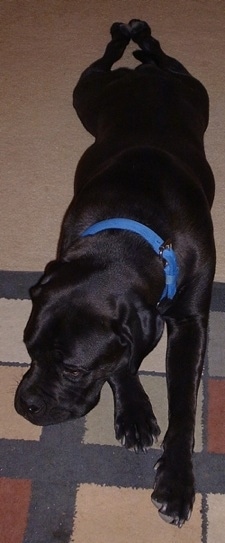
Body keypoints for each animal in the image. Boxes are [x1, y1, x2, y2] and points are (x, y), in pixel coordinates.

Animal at [14, 21, 215, 528]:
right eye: (28, 350)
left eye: (72, 368)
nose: (23, 405)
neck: (131, 227)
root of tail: (142, 78)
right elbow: (123, 363)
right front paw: (136, 413)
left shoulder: (191, 321)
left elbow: (184, 401)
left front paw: (176, 481)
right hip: (90, 93)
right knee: (113, 60)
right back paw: (130, 36)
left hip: (188, 88)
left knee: (158, 57)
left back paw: (137, 38)